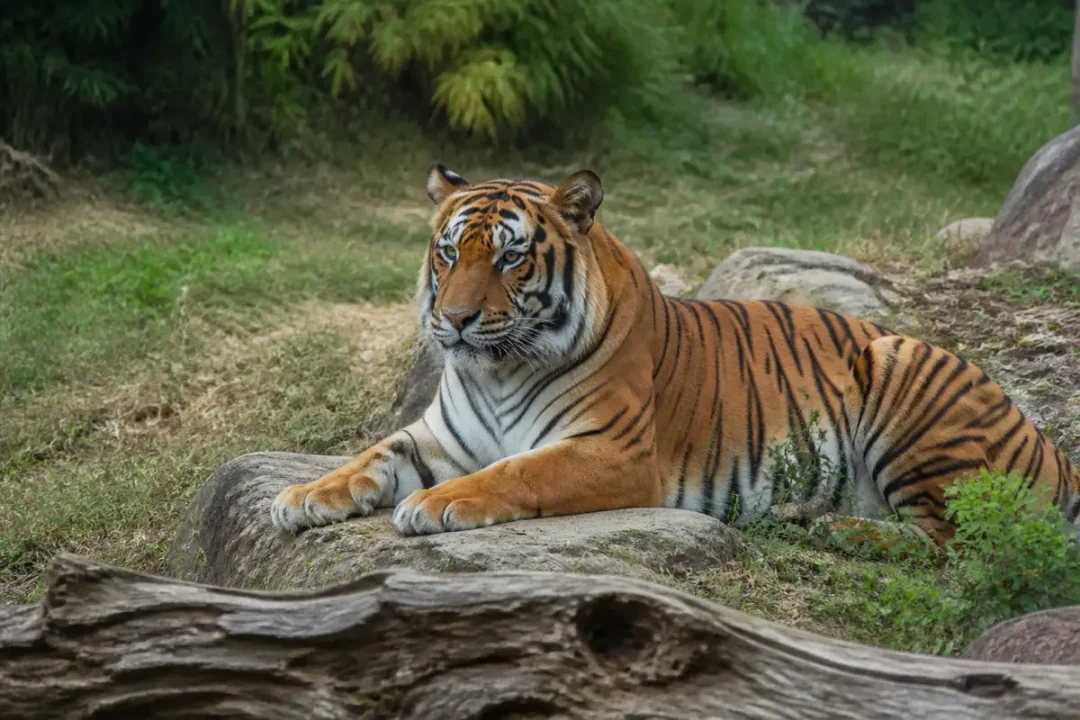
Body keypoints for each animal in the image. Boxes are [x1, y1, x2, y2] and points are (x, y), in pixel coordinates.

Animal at [269, 165, 1080, 549]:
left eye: (509, 258)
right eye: (447, 253)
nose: (456, 320)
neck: (498, 368)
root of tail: (1048, 443)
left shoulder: (613, 450)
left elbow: (517, 471)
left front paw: (436, 506)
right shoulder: (439, 436)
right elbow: (371, 455)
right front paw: (302, 497)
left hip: (902, 368)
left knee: (956, 541)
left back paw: (838, 532)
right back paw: (807, 515)